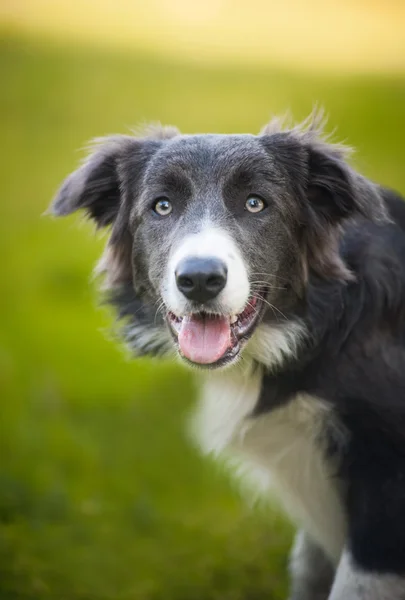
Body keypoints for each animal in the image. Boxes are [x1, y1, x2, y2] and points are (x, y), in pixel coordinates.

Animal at [51, 113, 405, 600]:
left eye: (256, 204)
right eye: (162, 207)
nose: (199, 279)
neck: (316, 326)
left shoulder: (383, 488)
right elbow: (308, 569)